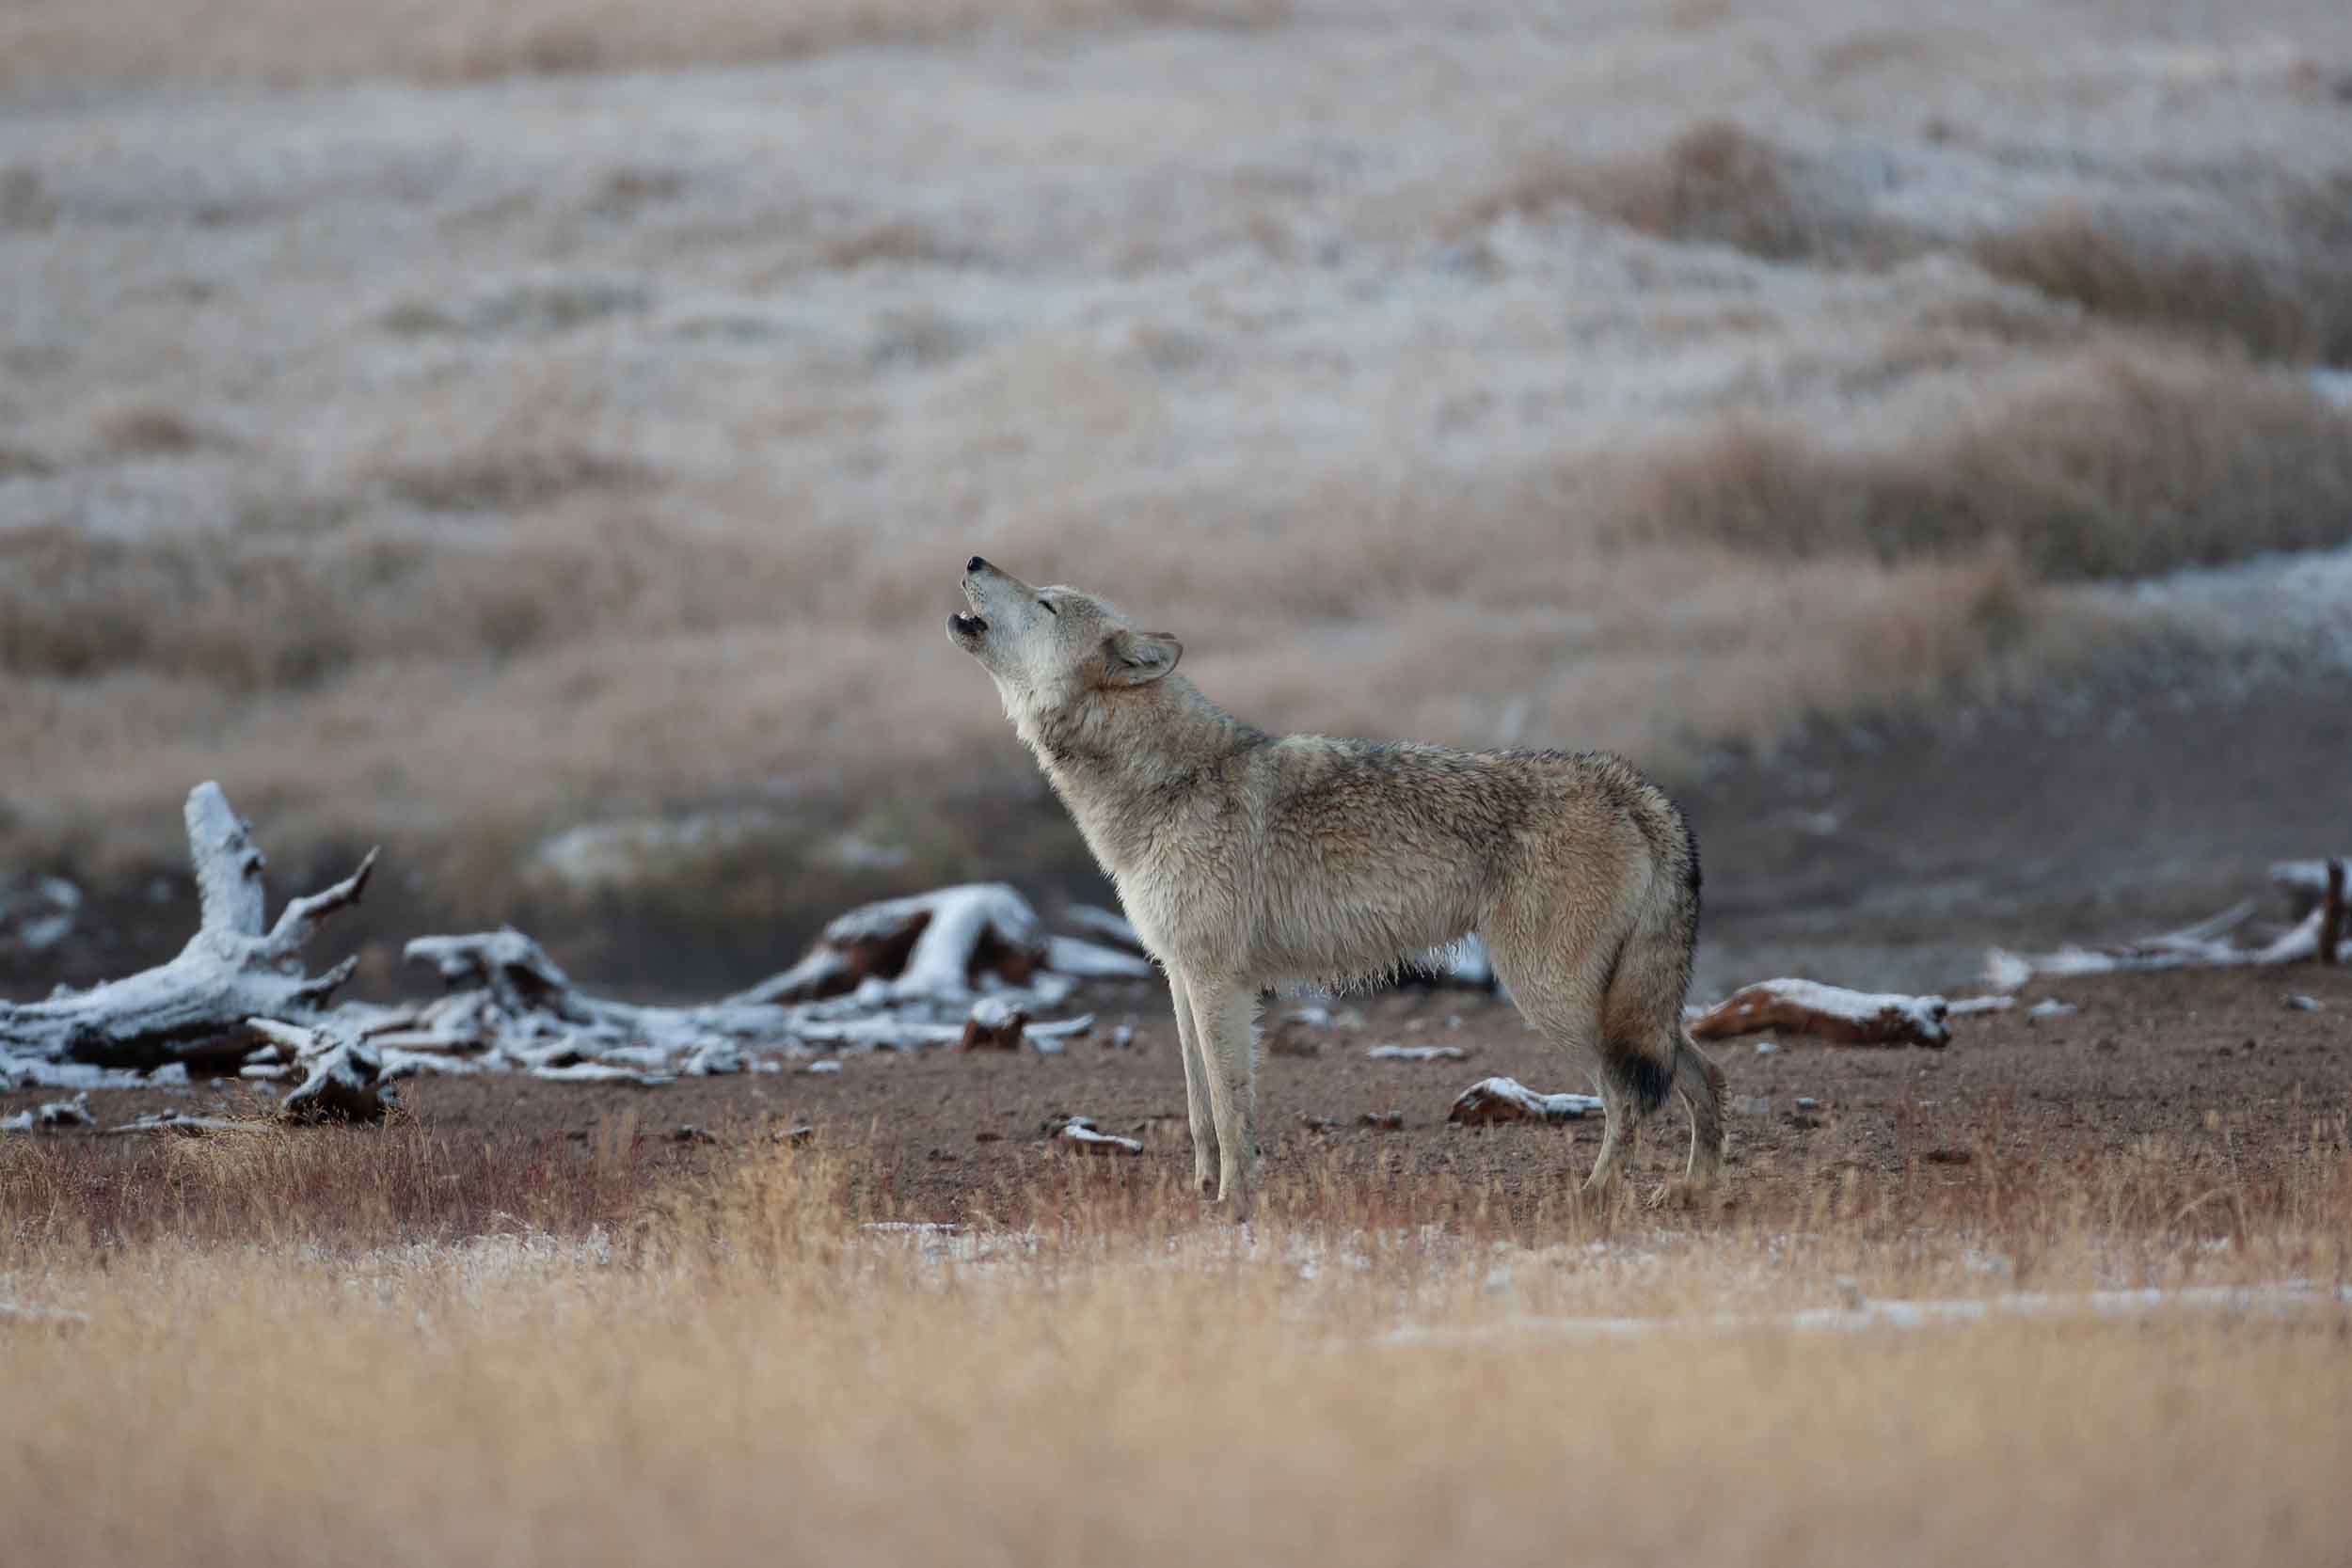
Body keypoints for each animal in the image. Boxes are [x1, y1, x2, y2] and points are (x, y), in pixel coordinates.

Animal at [949, 557, 1726, 1217]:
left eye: (1046, 603)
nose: (975, 560)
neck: (1165, 783)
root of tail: (1629, 784)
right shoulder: (1180, 975)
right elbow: (1200, 1111)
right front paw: (1202, 1195)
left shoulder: (1218, 981)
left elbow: (1230, 1109)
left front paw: (1234, 1203)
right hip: (1620, 1009)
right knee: (1703, 1075)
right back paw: (1692, 1188)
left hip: (1553, 999)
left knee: (1629, 1098)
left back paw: (1595, 1194)